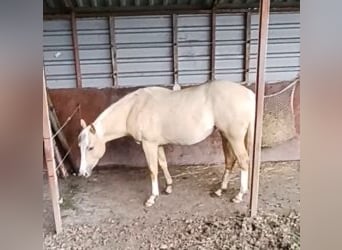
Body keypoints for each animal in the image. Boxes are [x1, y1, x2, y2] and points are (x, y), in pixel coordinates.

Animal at [77, 80, 254, 207]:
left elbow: (153, 169)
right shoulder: (157, 144)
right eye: (79, 147)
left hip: (234, 137)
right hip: (226, 136)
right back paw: (220, 190)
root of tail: (249, 94)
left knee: (243, 160)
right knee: (230, 160)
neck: (134, 108)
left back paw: (239, 195)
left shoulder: (148, 144)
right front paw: (168, 187)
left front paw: (152, 197)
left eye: (90, 147)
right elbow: (163, 164)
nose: (82, 173)